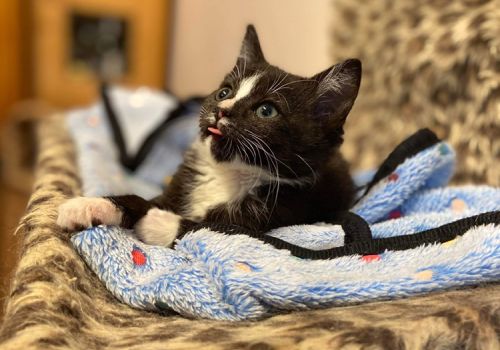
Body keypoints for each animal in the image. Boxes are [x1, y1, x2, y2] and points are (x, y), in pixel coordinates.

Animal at [56, 24, 362, 249]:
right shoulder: (178, 190)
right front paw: (90, 205)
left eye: (266, 111)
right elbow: (143, 201)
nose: (221, 109)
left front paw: (157, 223)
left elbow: (214, 227)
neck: (228, 174)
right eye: (224, 92)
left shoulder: (281, 213)